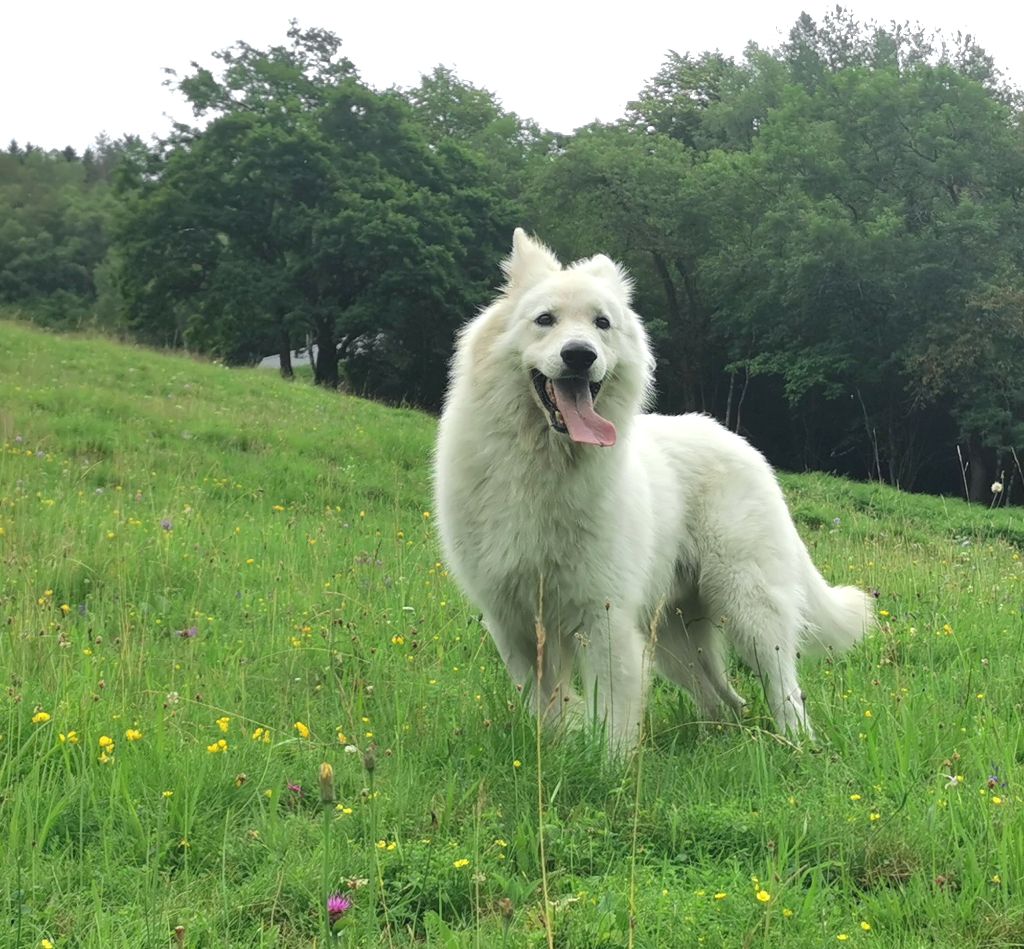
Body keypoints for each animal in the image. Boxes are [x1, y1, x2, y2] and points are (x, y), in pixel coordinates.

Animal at [434, 230, 872, 749]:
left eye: (602, 323)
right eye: (545, 320)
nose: (580, 355)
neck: (543, 465)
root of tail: (740, 442)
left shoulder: (603, 618)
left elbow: (613, 718)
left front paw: (605, 766)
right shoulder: (514, 624)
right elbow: (546, 708)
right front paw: (556, 753)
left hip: (749, 609)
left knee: (784, 690)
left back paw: (796, 746)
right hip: (675, 642)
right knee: (725, 700)